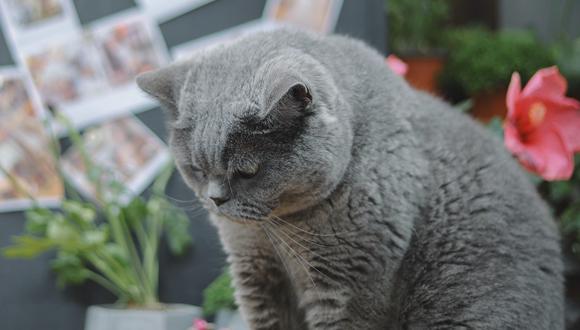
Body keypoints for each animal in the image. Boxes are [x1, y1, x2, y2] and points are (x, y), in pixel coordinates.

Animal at [136, 29, 560, 328]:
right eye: (196, 169)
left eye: (247, 172)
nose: (215, 199)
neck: (277, 234)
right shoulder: (256, 274)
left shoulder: (349, 286)